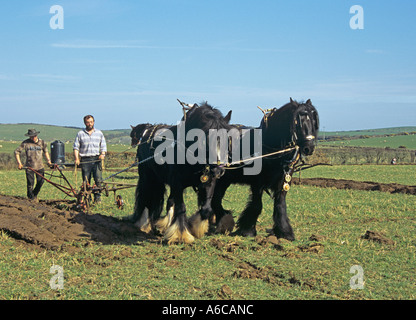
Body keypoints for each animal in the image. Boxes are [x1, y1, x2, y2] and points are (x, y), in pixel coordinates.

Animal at [130, 102, 232, 242]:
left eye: (227, 139)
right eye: (205, 140)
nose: (218, 170)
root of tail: (147, 132)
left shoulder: (208, 181)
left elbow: (206, 208)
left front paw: (195, 228)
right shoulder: (177, 183)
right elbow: (181, 207)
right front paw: (182, 235)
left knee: (169, 202)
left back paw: (165, 224)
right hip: (148, 177)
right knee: (146, 198)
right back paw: (144, 224)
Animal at [213, 99, 320, 241]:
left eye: (314, 121)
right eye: (297, 123)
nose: (309, 148)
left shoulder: (284, 180)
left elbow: (280, 204)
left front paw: (284, 232)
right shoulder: (257, 182)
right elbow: (257, 205)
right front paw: (247, 230)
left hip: (225, 180)